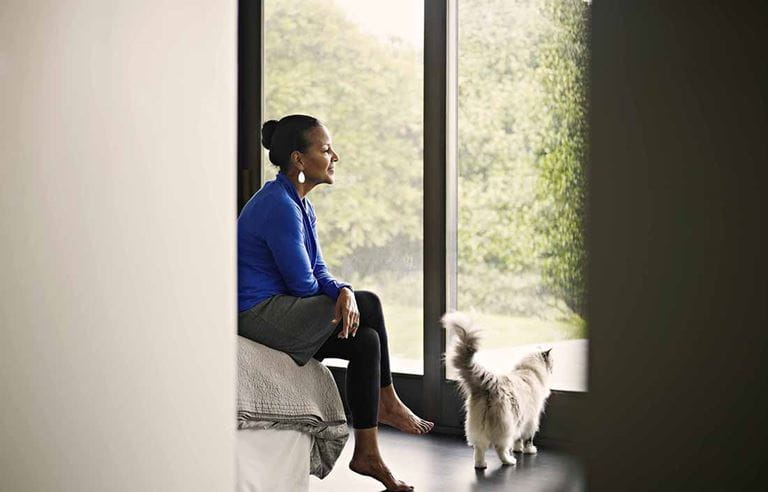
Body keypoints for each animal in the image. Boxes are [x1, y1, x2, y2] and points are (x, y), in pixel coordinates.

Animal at [440, 312, 556, 468]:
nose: (553, 369)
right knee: (500, 447)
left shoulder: (522, 420)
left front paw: (518, 449)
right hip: (505, 427)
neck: (528, 370)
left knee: (479, 448)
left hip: (478, 426)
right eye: (552, 363)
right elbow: (527, 439)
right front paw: (529, 450)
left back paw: (481, 465)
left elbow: (518, 440)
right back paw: (510, 461)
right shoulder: (532, 419)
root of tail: (489, 382)